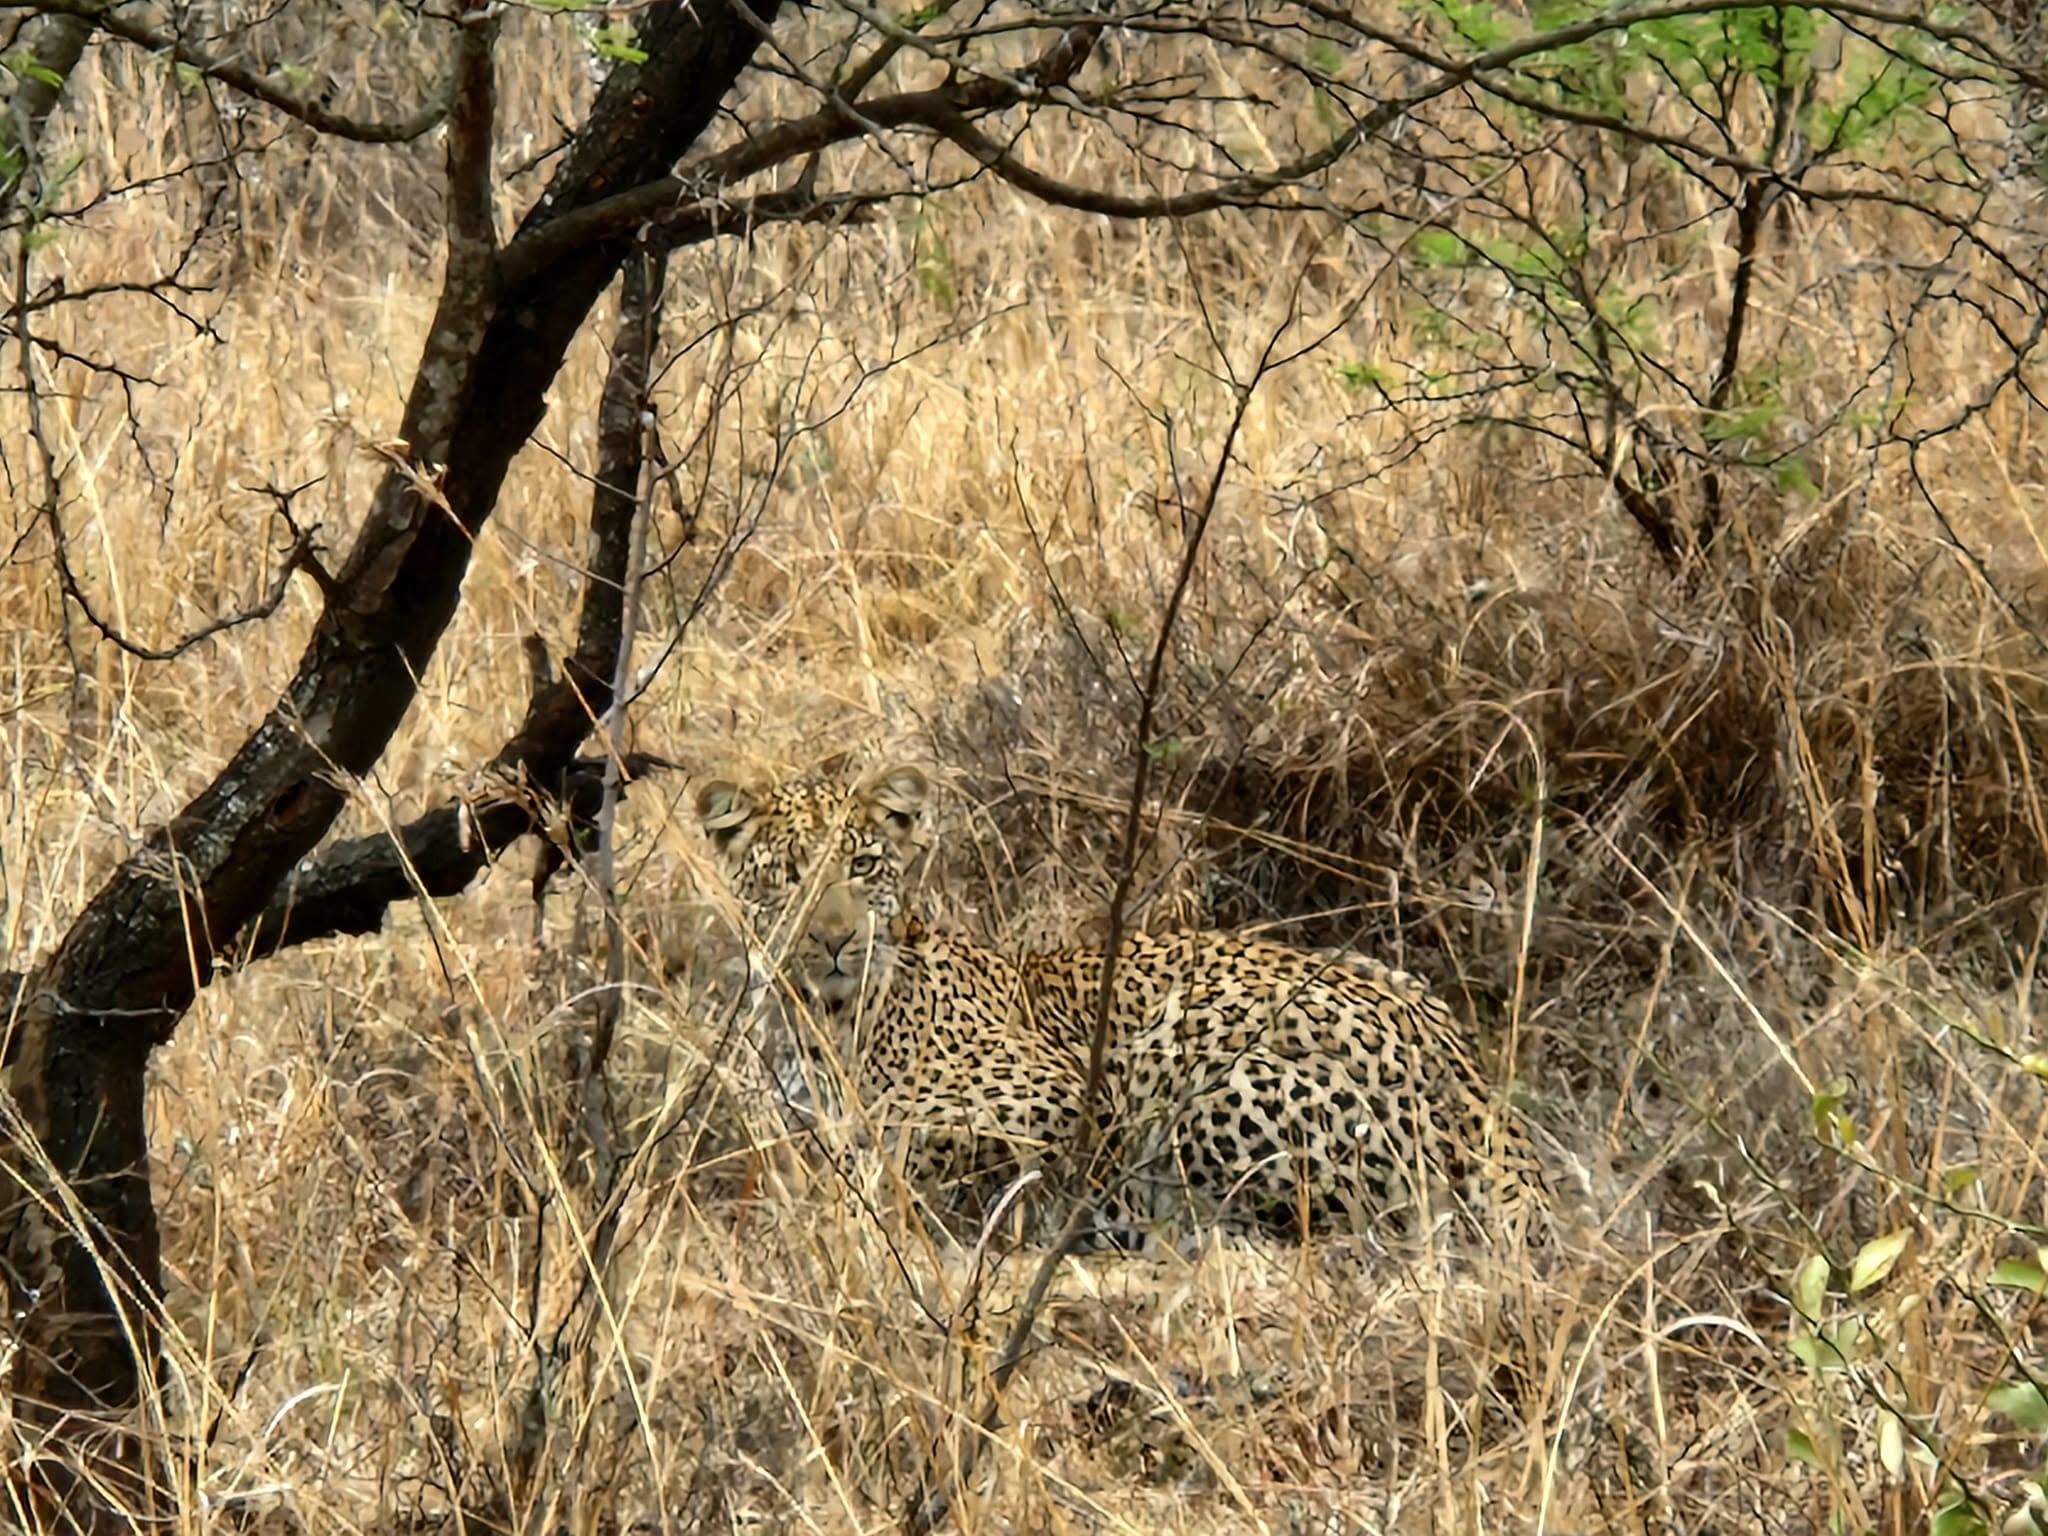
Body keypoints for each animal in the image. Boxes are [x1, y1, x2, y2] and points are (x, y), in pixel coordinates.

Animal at [696, 761, 1544, 1249]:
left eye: (865, 865)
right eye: (787, 876)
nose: (834, 939)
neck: (816, 1017)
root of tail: (1486, 1107)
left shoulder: (1065, 1095)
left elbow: (900, 1147)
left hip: (1193, 1061)